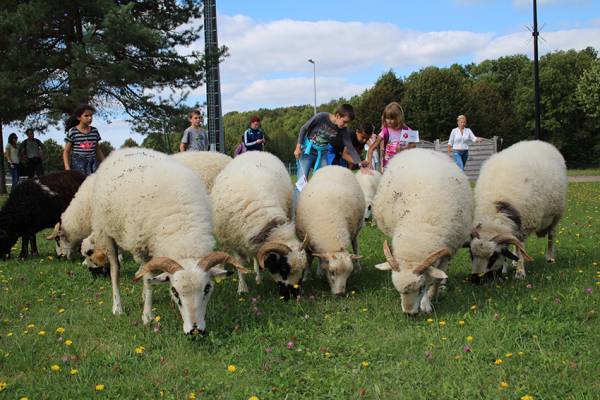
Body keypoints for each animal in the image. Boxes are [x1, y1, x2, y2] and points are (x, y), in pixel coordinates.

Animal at [212, 152, 310, 298]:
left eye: (303, 270)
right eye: (283, 268)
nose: (294, 295)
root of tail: (256, 151)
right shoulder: (234, 239)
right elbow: (239, 264)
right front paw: (242, 289)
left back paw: (258, 277)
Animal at [370, 148, 474, 314]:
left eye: (420, 288)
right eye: (398, 291)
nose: (409, 314)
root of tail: (419, 149)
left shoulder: (447, 250)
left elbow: (435, 279)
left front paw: (429, 299)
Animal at [468, 141, 568, 282]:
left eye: (493, 256)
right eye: (471, 254)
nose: (476, 279)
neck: (494, 211)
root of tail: (539, 142)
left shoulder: (524, 226)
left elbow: (521, 250)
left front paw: (520, 273)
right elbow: (512, 247)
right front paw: (506, 268)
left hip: (556, 215)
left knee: (551, 236)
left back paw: (549, 258)